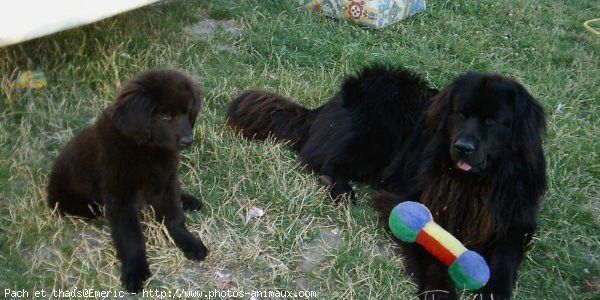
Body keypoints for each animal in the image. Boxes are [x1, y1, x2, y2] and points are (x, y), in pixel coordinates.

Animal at [47, 68, 207, 292]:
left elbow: (174, 216)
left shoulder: (166, 181)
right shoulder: (120, 197)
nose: (188, 141)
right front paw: (135, 271)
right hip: (74, 202)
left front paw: (190, 242)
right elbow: (130, 236)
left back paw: (188, 200)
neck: (146, 148)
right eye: (165, 116)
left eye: (186, 112)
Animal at [227, 64, 548, 298]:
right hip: (377, 132)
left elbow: (506, 258)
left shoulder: (513, 218)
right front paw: (440, 290)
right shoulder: (412, 201)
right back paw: (342, 191)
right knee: (324, 161)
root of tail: (326, 105)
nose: (463, 147)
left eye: (491, 122)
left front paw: (496, 291)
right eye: (460, 114)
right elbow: (431, 250)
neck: (473, 183)